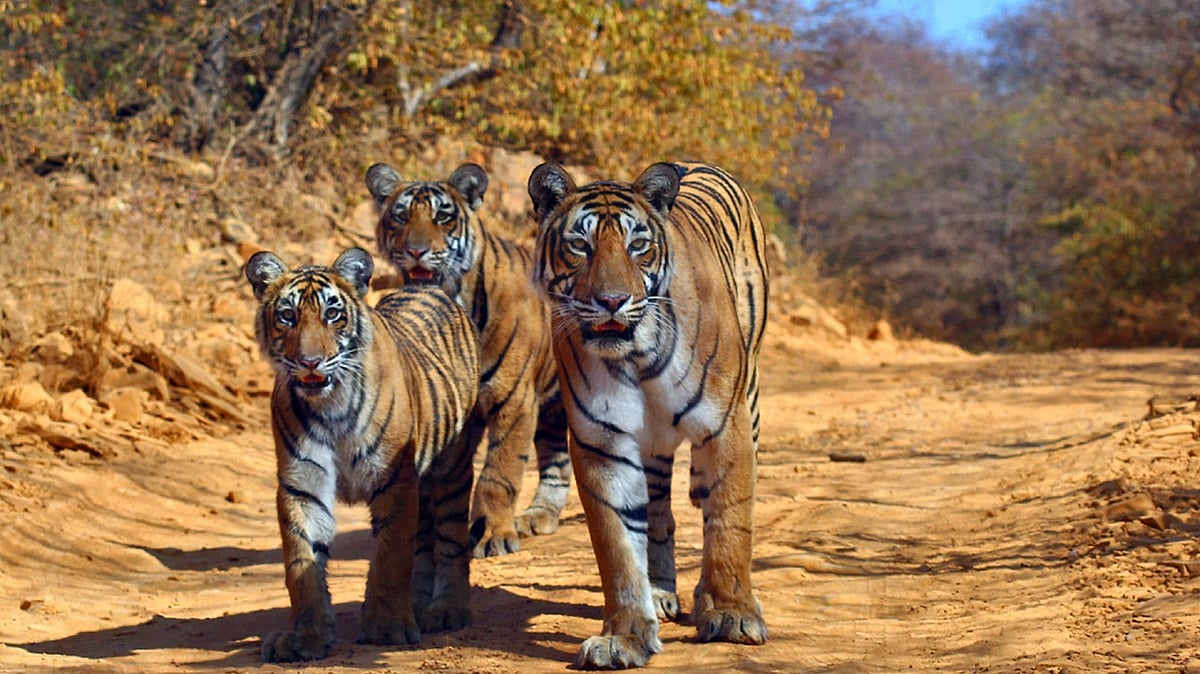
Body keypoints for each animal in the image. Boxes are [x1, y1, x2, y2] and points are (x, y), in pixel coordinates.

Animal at [244, 246, 481, 662]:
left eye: (332, 314)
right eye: (287, 316)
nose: (309, 362)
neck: (330, 405)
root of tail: (427, 287)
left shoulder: (395, 478)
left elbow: (391, 555)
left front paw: (387, 627)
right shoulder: (302, 484)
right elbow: (301, 562)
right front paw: (305, 637)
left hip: (452, 467)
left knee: (451, 538)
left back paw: (447, 610)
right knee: (424, 542)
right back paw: (417, 604)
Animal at [365, 162, 570, 558]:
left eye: (443, 217)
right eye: (400, 216)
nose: (416, 251)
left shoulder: (513, 399)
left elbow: (498, 472)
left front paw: (491, 535)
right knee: (556, 459)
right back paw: (539, 515)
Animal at [527, 161, 770, 669]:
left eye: (637, 245)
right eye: (580, 245)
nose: (612, 300)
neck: (637, 355)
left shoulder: (727, 426)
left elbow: (729, 522)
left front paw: (733, 615)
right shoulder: (603, 443)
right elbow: (618, 546)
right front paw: (624, 638)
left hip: (751, 393)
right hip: (653, 449)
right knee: (659, 515)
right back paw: (659, 592)